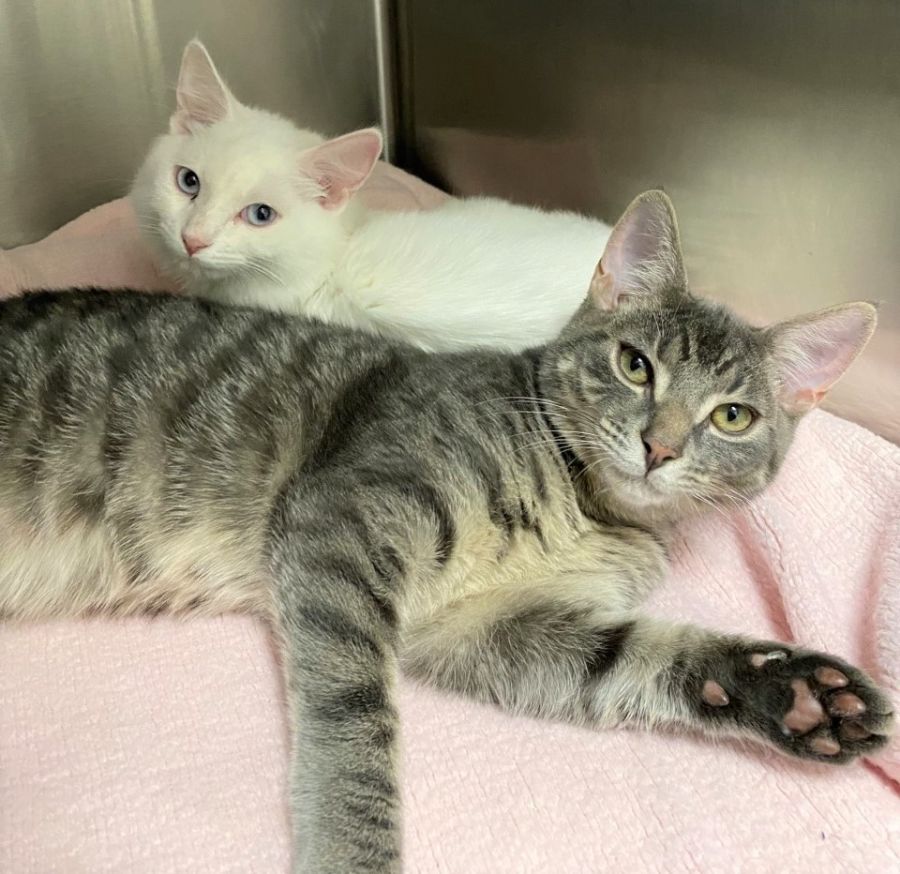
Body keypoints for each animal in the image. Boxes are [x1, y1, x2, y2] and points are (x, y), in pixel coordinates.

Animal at [1, 190, 891, 873]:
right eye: (635, 364)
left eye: (733, 416)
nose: (660, 446)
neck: (586, 508)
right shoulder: (340, 519)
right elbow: (354, 719)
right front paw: (353, 853)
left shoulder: (482, 629)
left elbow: (634, 656)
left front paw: (796, 694)